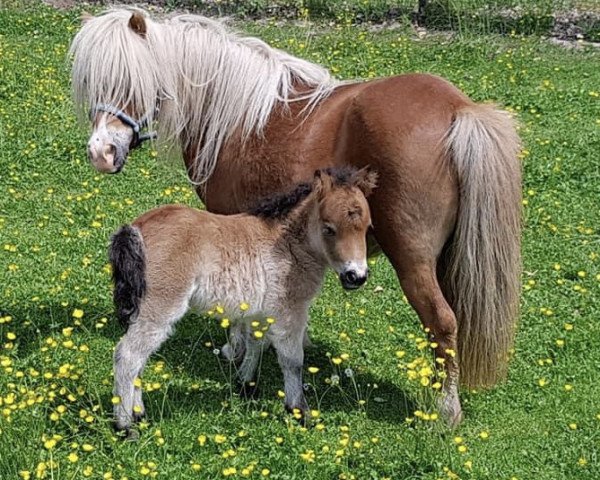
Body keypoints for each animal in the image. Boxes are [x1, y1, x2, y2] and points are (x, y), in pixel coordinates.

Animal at [109, 166, 376, 432]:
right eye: (328, 228)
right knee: (128, 356)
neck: (289, 243)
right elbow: (292, 360)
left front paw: (245, 385)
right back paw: (125, 425)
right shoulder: (291, 311)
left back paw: (139, 414)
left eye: (367, 227)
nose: (356, 276)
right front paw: (299, 411)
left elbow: (255, 343)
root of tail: (135, 229)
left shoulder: (260, 310)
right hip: (160, 307)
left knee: (140, 358)